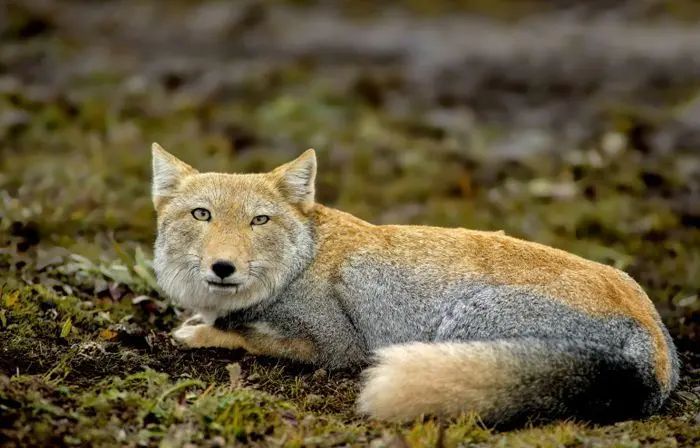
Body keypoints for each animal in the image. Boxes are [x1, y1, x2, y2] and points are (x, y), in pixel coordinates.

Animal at [150, 143, 680, 428]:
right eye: (202, 215)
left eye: (259, 220)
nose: (223, 267)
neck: (301, 259)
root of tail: (656, 349)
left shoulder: (336, 344)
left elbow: (248, 336)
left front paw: (202, 331)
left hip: (459, 326)